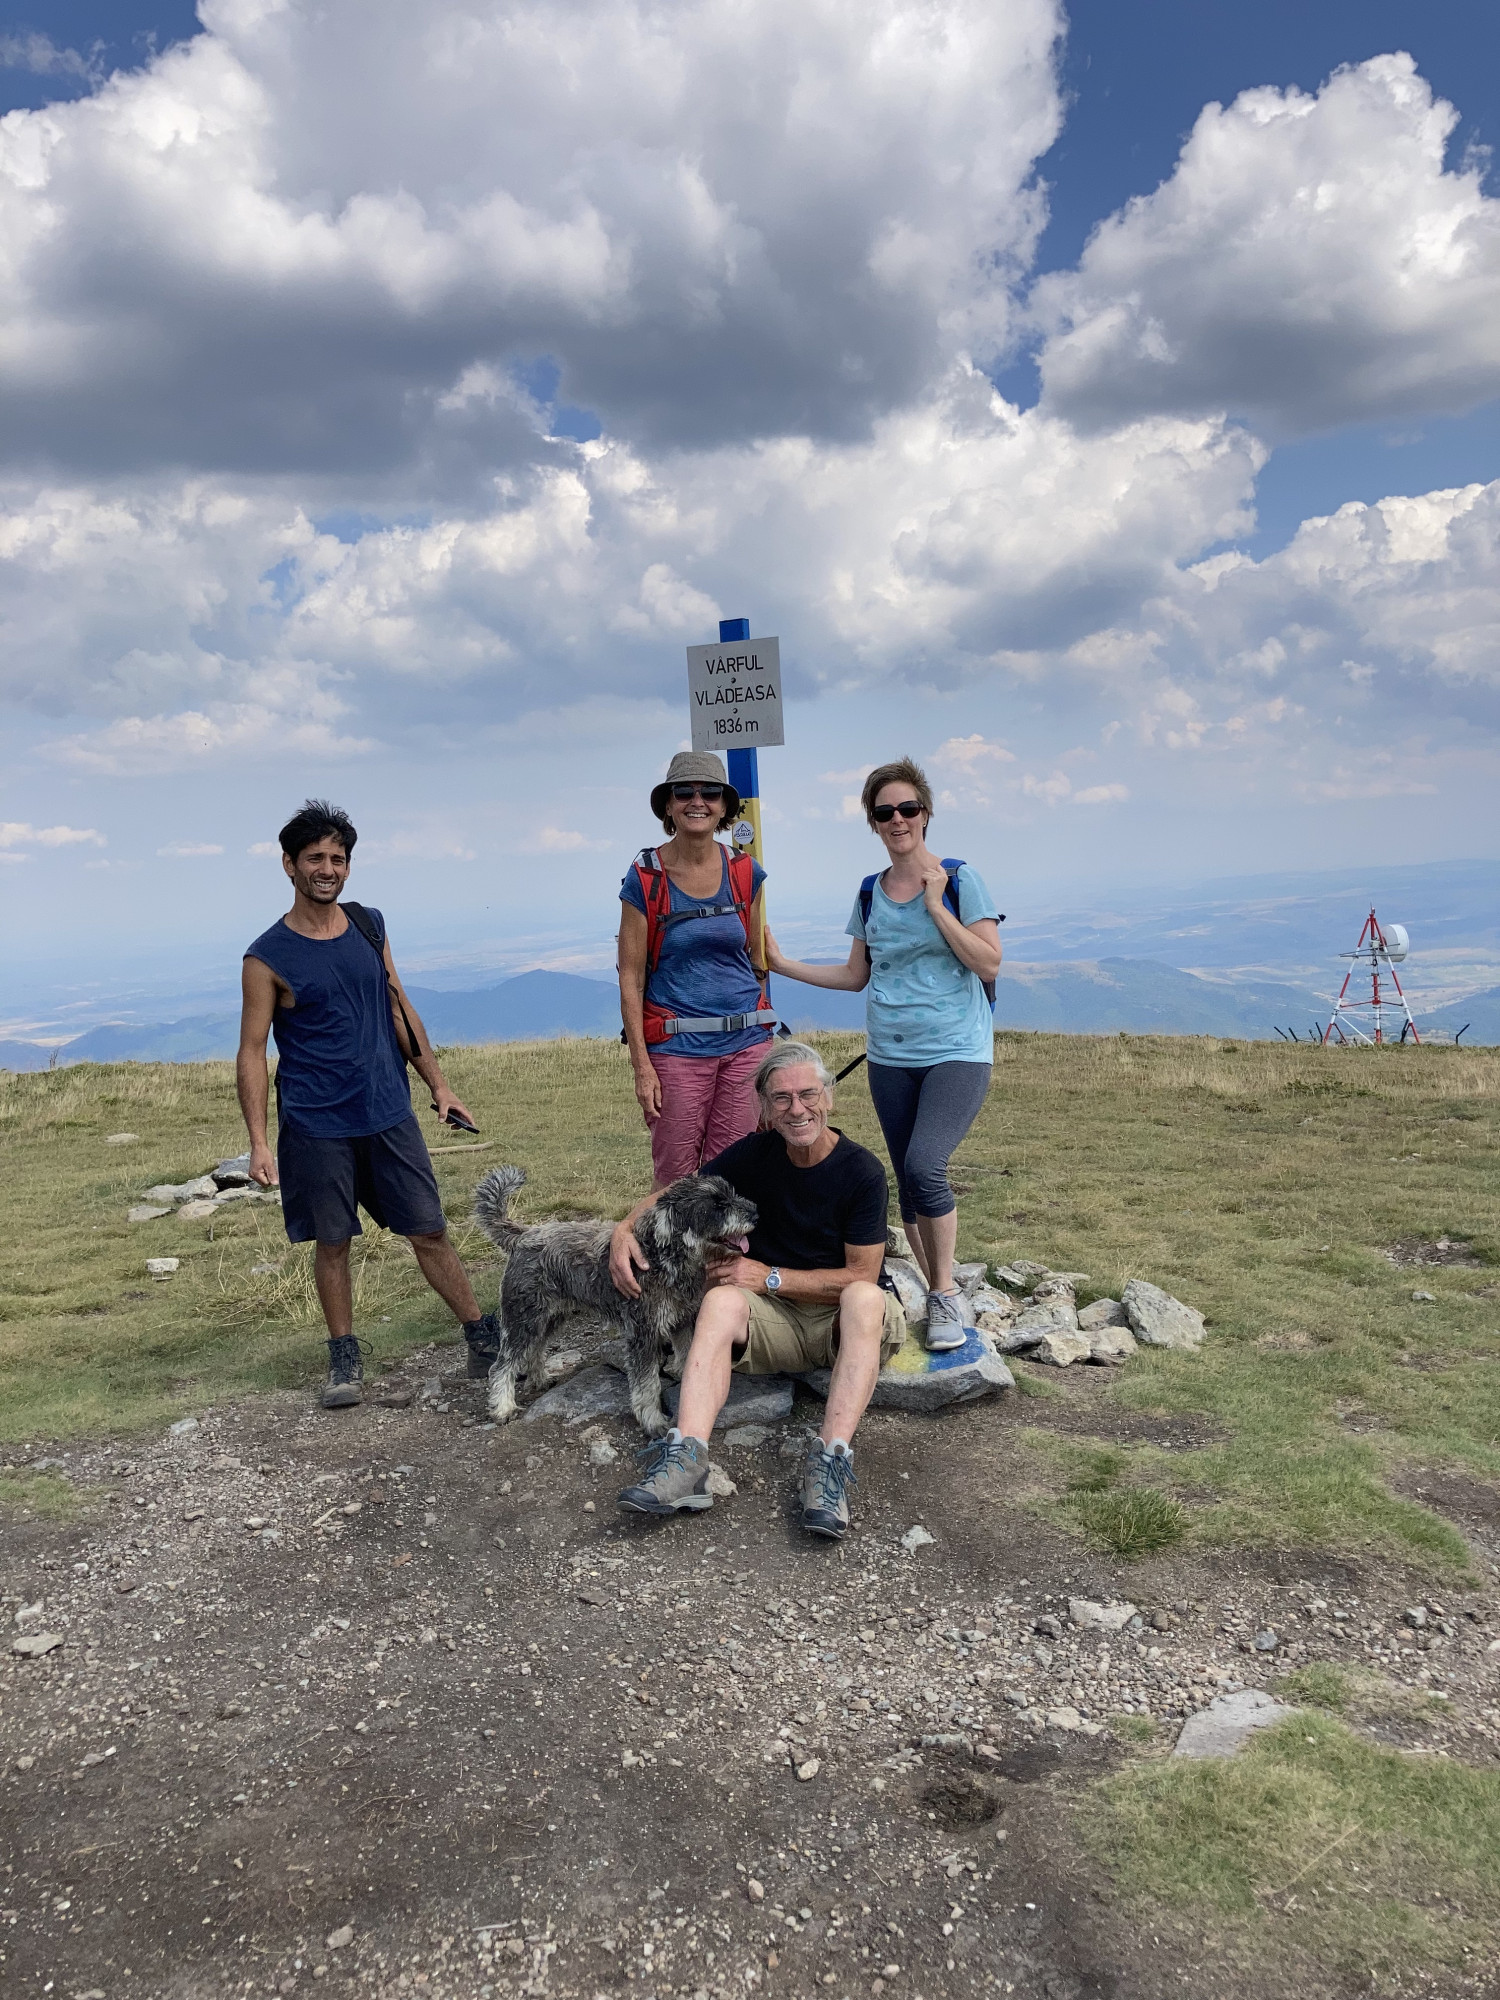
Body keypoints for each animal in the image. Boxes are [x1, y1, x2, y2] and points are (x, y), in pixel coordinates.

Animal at [471, 1167, 759, 1436]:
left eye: (730, 1193)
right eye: (716, 1204)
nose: (755, 1212)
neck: (664, 1258)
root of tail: (524, 1235)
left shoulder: (683, 1322)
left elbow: (689, 1358)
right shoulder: (644, 1334)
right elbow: (647, 1384)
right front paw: (653, 1421)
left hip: (550, 1317)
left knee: (536, 1348)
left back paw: (539, 1379)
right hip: (523, 1320)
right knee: (502, 1365)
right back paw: (503, 1408)